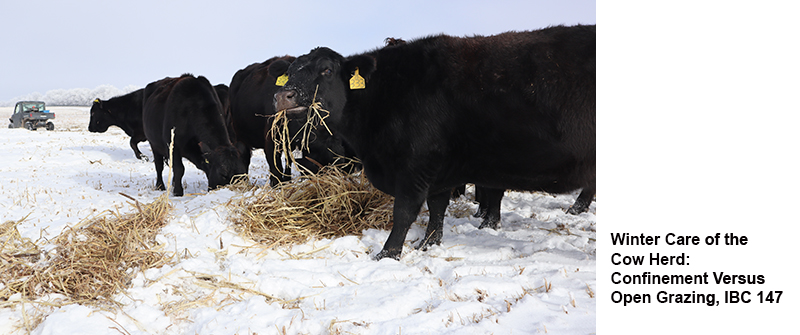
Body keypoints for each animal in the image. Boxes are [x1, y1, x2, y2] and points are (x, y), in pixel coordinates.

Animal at [276, 26, 592, 262]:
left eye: (327, 70)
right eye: (291, 71)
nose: (284, 96)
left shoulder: (415, 165)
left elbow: (404, 212)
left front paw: (387, 254)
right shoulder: (439, 169)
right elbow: (437, 207)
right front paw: (429, 243)